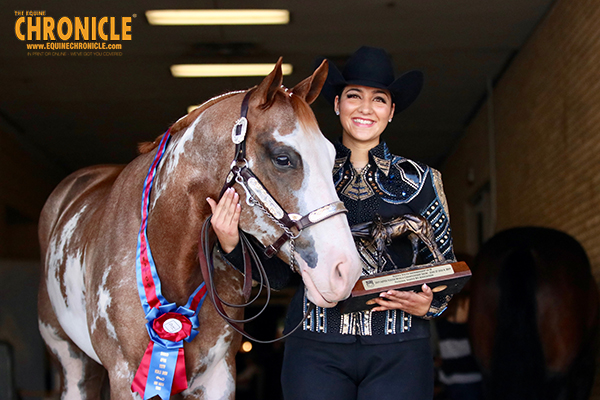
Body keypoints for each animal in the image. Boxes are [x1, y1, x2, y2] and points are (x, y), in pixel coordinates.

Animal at [39, 59, 364, 400]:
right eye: (283, 158)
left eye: (332, 157)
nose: (344, 269)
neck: (168, 256)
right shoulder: (125, 376)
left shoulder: (218, 377)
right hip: (72, 363)